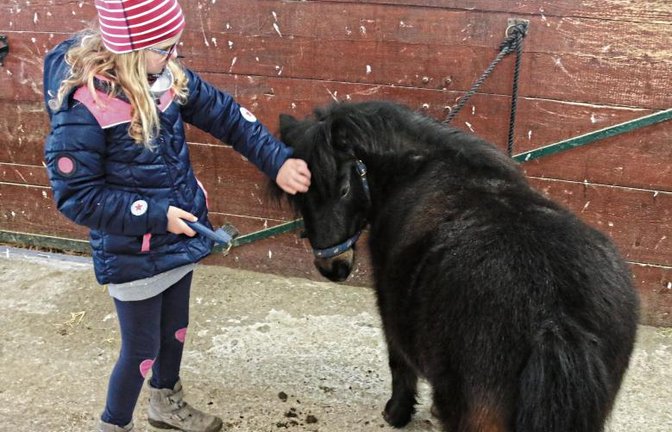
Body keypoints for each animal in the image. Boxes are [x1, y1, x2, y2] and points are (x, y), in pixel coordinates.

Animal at [273, 100, 639, 432]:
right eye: (298, 195)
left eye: (345, 188)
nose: (331, 267)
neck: (414, 171)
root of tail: (555, 317)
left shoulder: (389, 308)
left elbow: (398, 362)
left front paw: (396, 413)